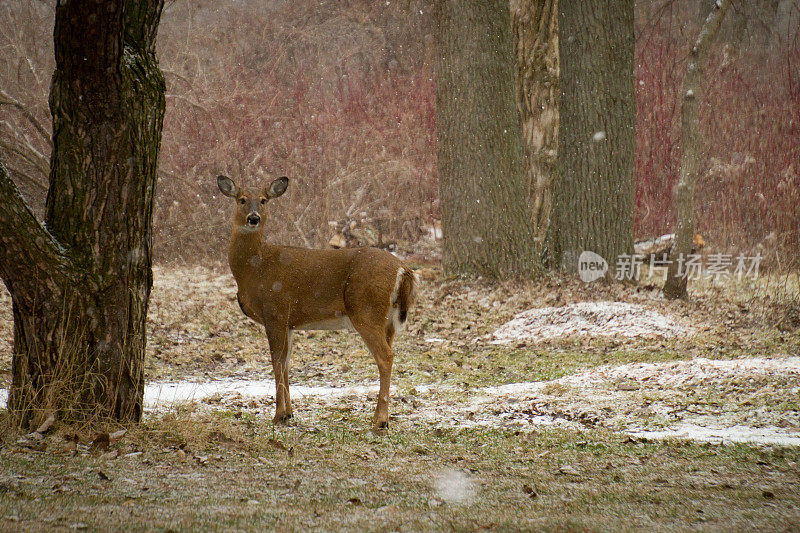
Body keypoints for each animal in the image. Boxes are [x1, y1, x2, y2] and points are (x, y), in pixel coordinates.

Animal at [219, 176, 418, 432]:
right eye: (242, 199)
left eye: (263, 200)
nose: (254, 218)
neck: (254, 267)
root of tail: (403, 269)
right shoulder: (288, 322)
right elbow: (286, 363)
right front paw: (289, 413)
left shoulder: (275, 310)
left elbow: (276, 362)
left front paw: (278, 415)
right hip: (388, 320)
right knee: (388, 352)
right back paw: (377, 417)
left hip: (365, 311)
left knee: (386, 356)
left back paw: (381, 421)